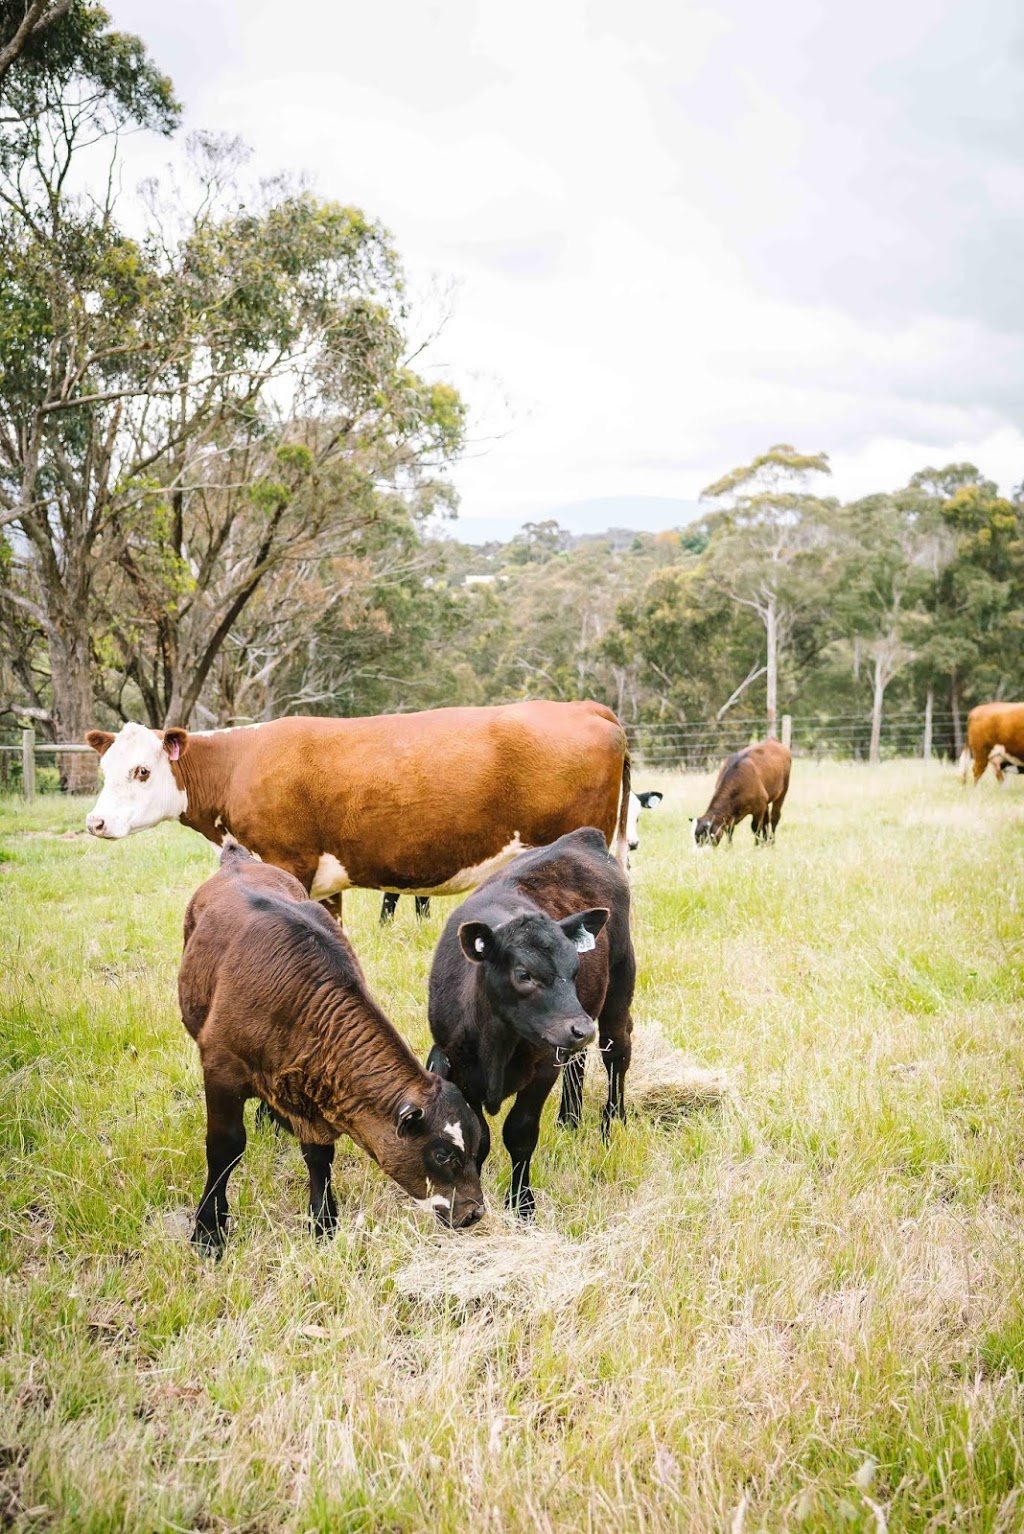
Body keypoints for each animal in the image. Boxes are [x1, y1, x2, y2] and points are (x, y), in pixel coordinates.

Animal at [179, 846, 484, 1251]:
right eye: (443, 1154)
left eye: (478, 1146)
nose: (474, 1212)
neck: (294, 1002)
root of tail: (237, 859)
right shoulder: (220, 1068)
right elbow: (225, 1148)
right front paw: (209, 1230)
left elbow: (319, 1155)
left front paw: (323, 1221)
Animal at [423, 828, 631, 1221]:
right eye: (524, 974)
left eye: (574, 969)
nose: (581, 1028)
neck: (495, 1044)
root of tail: (583, 838)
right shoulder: (458, 1067)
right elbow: (480, 1135)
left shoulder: (542, 1066)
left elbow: (519, 1133)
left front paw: (522, 1204)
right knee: (578, 1061)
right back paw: (570, 1119)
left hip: (619, 990)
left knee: (617, 1055)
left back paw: (613, 1123)